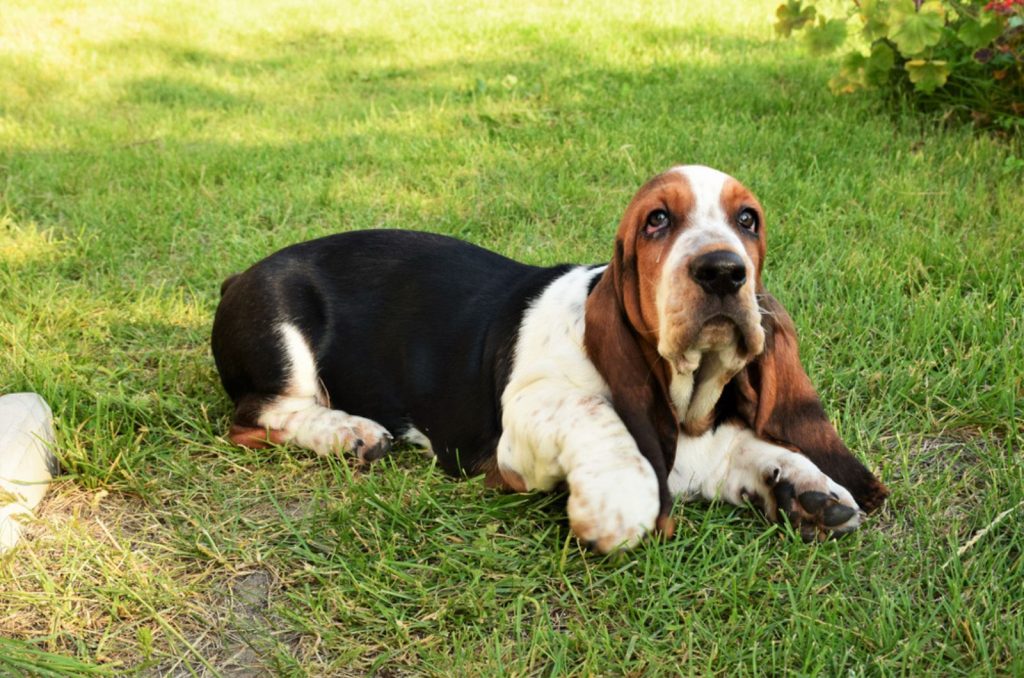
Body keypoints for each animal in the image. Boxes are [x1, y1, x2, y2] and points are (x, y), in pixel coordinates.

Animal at [209, 164, 888, 553]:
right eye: (656, 221)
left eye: (748, 220)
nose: (724, 271)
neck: (678, 392)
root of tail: (237, 276)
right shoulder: (521, 435)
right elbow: (597, 414)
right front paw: (616, 503)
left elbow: (747, 447)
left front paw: (811, 490)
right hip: (283, 334)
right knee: (256, 416)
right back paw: (351, 433)